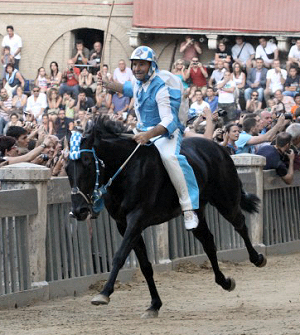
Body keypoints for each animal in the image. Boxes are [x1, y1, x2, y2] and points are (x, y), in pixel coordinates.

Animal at [66, 117, 268, 318]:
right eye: (67, 167)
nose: (79, 210)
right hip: (196, 212)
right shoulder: (123, 224)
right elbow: (145, 265)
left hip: (226, 201)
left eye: (87, 162)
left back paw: (257, 258)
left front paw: (104, 293)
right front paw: (154, 304)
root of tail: (219, 148)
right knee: (208, 242)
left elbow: (120, 255)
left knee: (240, 224)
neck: (127, 170)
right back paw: (224, 281)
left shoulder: (137, 219)